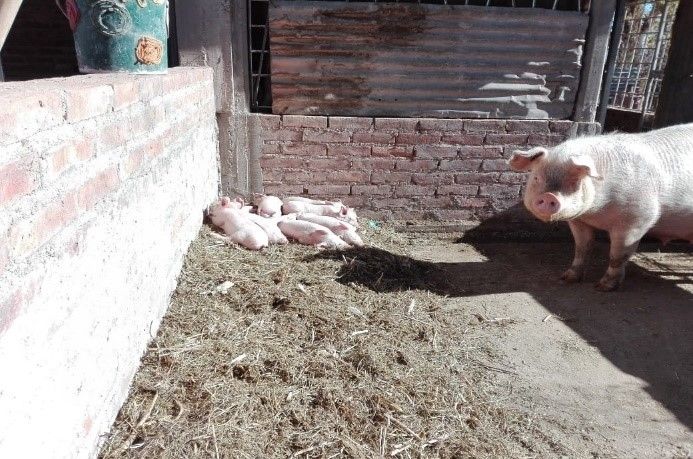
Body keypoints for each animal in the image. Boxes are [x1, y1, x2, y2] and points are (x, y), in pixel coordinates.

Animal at [509, 122, 693, 291]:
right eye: (537, 178)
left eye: (574, 181)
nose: (549, 196)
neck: (597, 213)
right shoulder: (579, 221)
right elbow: (582, 248)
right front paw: (567, 278)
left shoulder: (636, 220)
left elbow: (617, 256)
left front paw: (602, 286)